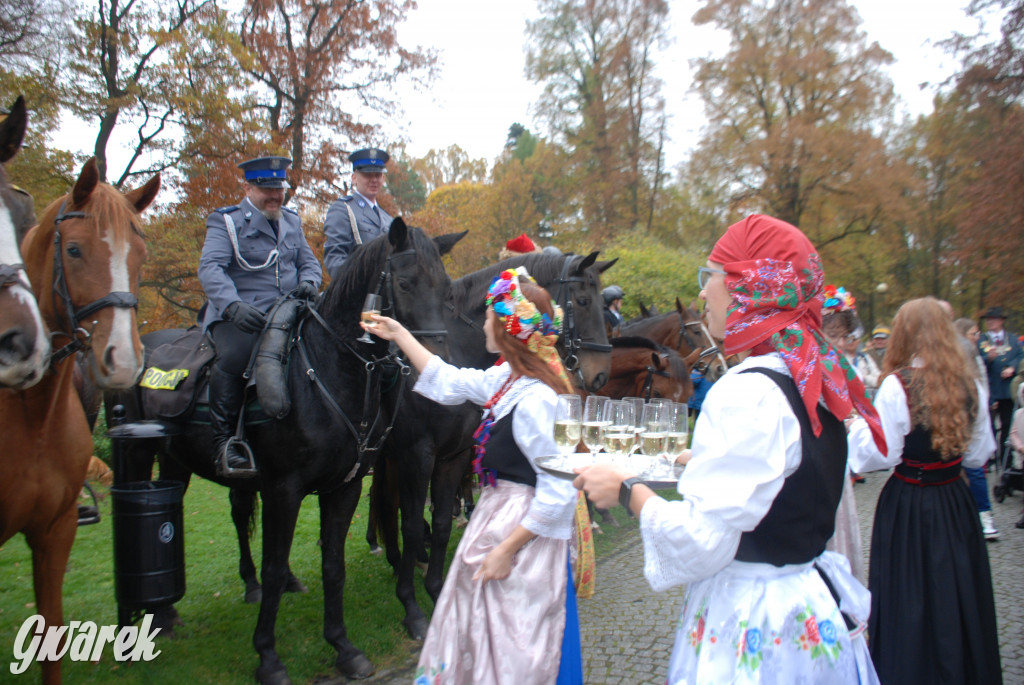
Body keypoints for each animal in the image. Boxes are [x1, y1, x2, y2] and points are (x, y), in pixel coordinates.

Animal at [104, 220, 464, 683]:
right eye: (404, 283)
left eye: (448, 291)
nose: (438, 364)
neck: (328, 370)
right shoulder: (285, 489)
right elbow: (275, 568)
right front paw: (269, 657)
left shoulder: (346, 486)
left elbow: (333, 565)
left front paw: (344, 647)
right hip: (135, 457)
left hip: (174, 462)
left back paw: (170, 615)